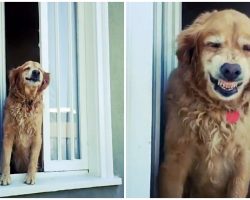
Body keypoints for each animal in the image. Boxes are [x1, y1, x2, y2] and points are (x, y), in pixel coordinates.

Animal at [159, 9, 250, 197]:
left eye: (247, 48)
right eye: (214, 44)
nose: (231, 70)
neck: (218, 109)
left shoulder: (243, 164)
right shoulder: (175, 159)